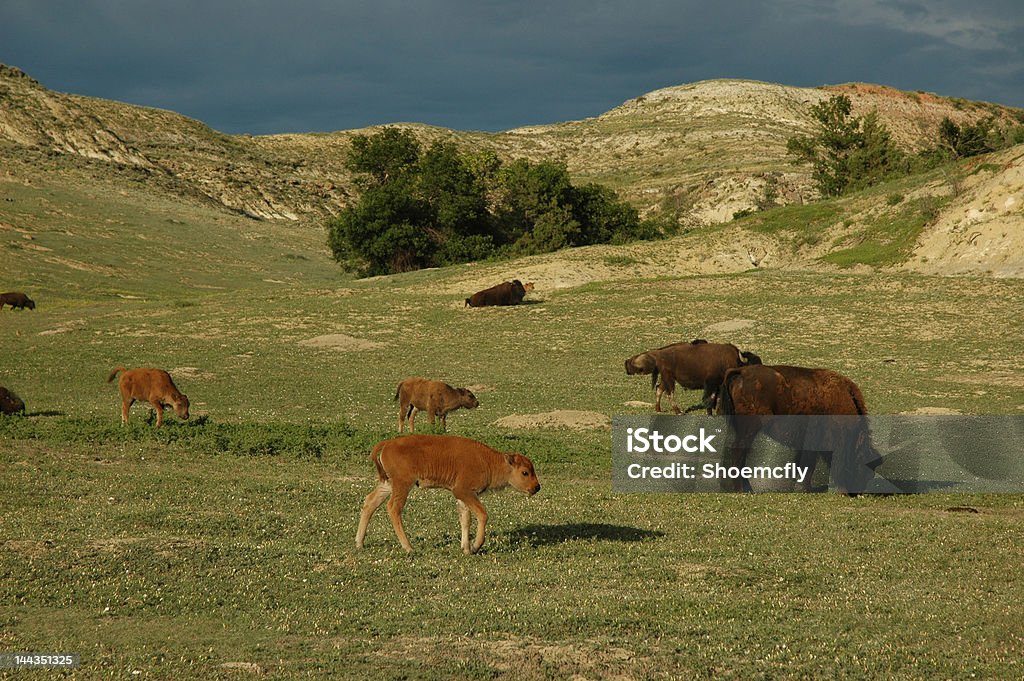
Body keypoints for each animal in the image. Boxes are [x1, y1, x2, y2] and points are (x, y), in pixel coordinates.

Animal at [354, 436, 540, 552]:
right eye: (525, 473)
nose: (537, 487)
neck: (488, 461)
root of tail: (388, 443)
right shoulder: (463, 491)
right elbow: (482, 514)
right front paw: (476, 546)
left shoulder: (464, 496)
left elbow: (465, 518)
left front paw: (466, 548)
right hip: (402, 485)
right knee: (394, 508)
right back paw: (408, 547)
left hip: (388, 484)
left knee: (370, 502)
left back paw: (359, 543)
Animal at [622, 339, 761, 413]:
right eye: (751, 366)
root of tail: (658, 353)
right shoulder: (711, 384)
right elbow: (711, 398)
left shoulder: (718, 385)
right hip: (669, 379)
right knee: (669, 393)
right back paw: (678, 411)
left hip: (666, 378)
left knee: (659, 390)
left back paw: (659, 409)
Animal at [720, 364, 880, 491]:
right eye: (860, 466)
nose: (855, 492)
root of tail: (742, 372)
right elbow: (809, 466)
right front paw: (807, 489)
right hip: (750, 428)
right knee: (739, 452)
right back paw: (741, 489)